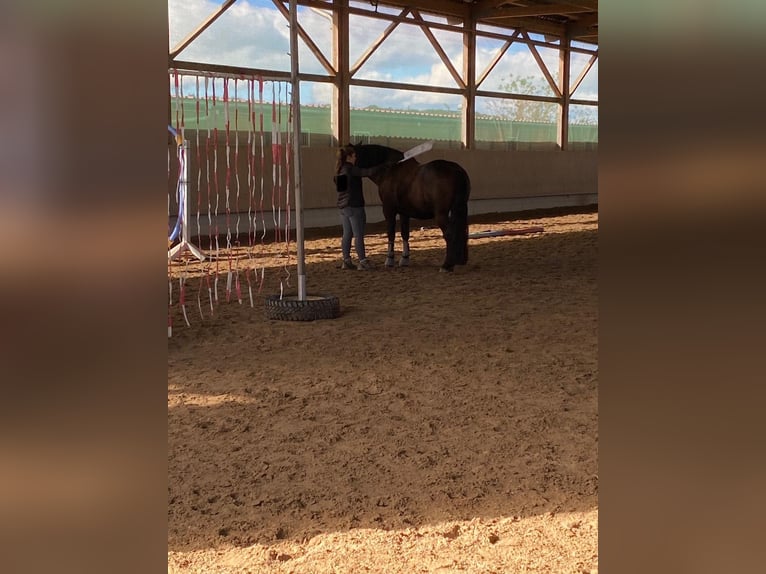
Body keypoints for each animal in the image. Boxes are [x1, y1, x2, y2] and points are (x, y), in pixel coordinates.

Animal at [352, 143, 472, 272]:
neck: (391, 170)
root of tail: (456, 170)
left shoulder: (389, 210)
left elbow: (391, 233)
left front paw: (389, 260)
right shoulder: (404, 212)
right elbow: (405, 233)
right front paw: (404, 259)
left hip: (441, 214)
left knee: (449, 234)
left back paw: (447, 265)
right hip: (460, 208)